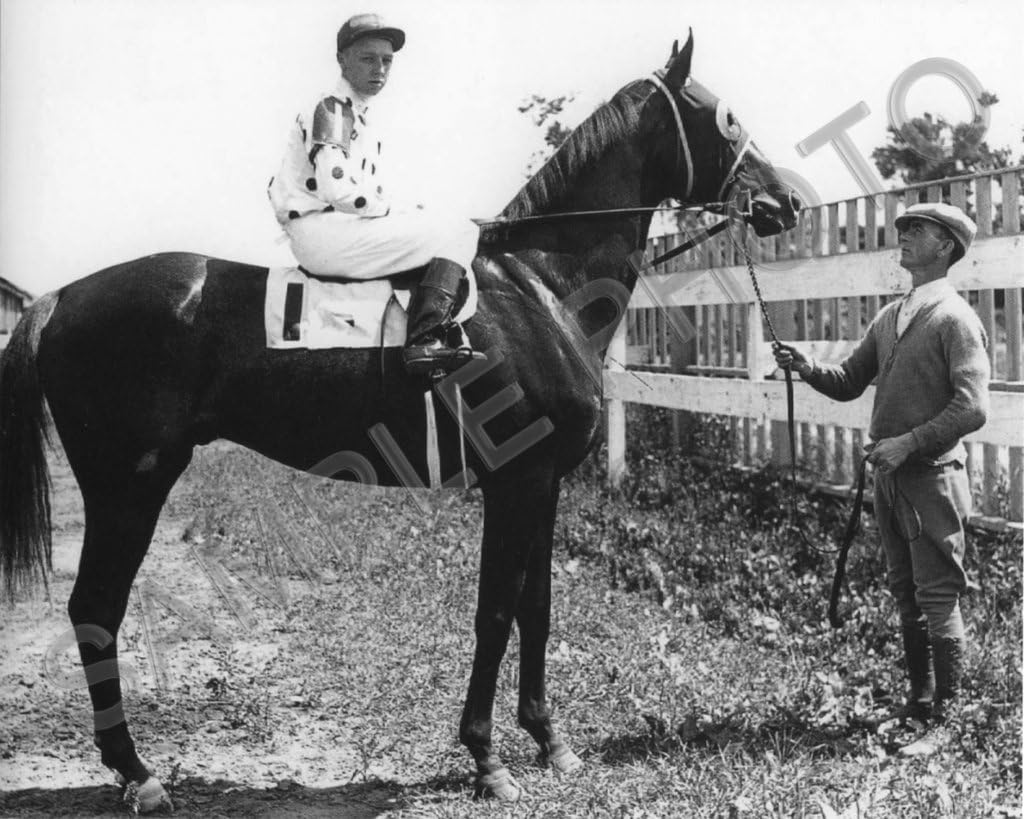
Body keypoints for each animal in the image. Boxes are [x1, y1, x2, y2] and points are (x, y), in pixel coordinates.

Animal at [0, 33, 798, 809]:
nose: (787, 199)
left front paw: (550, 741)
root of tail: (60, 297)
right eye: (723, 117)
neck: (541, 289)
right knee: (95, 607)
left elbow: (537, 608)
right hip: (129, 486)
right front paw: (486, 760)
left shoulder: (545, 484)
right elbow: (496, 612)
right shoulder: (515, 482)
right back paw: (137, 772)